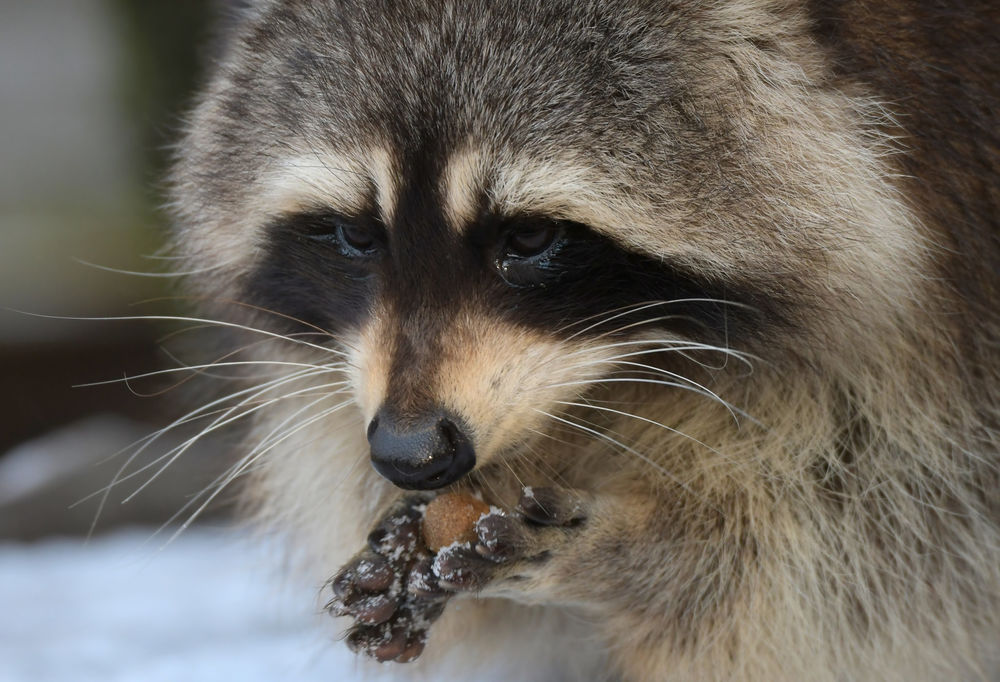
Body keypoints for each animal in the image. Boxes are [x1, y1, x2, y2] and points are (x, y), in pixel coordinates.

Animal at [168, 1, 996, 680]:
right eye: (354, 235)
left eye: (531, 237)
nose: (410, 454)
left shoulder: (954, 329)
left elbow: (879, 554)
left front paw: (644, 554)